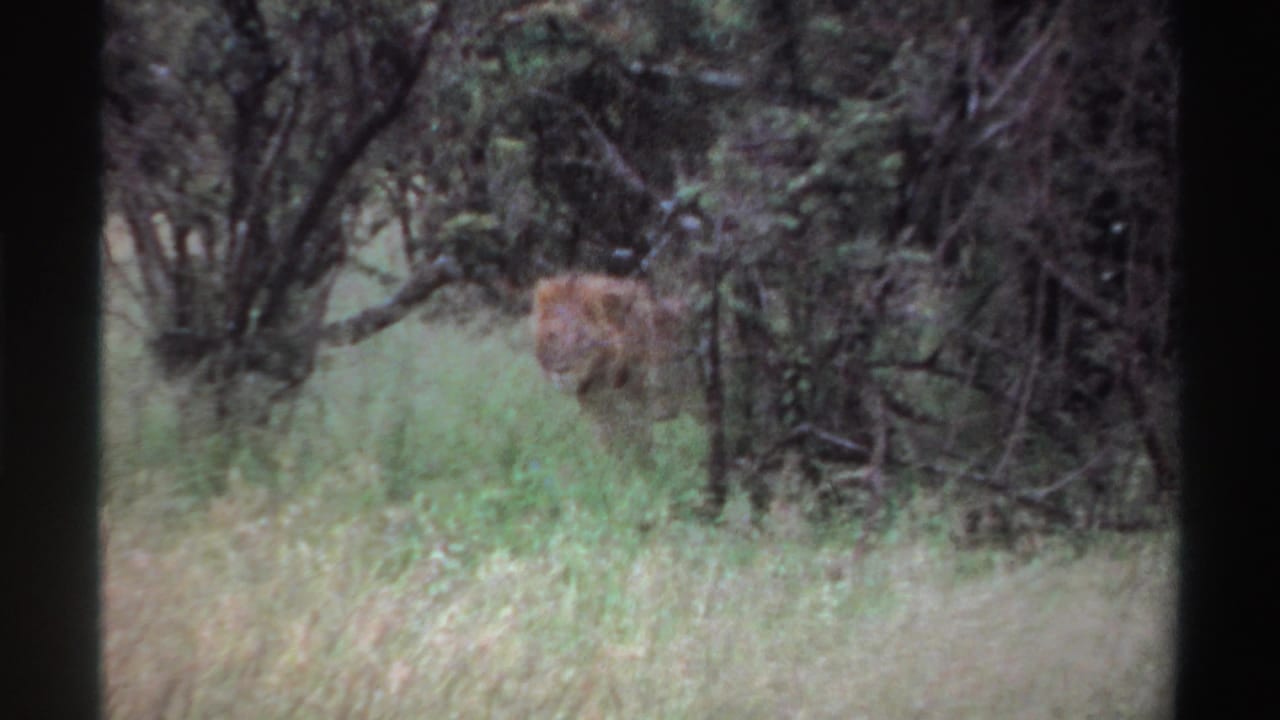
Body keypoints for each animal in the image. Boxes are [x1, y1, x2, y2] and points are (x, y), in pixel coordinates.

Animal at [532, 273, 700, 455]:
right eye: (551, 336)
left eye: (580, 337)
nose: (561, 371)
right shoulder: (601, 419)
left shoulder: (636, 414)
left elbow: (638, 454)